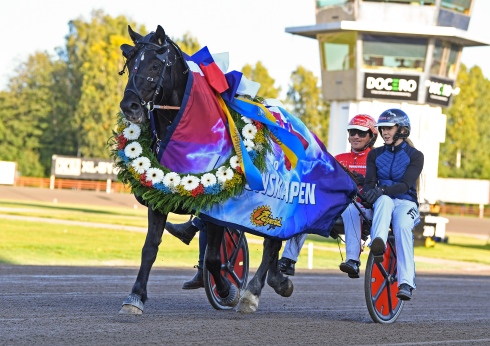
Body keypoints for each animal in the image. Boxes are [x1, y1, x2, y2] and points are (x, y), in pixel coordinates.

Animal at [118, 25, 292, 314]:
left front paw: (227, 290)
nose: (129, 106)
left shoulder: (218, 205)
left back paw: (252, 293)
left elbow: (213, 257)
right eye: (130, 64)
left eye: (155, 64)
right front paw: (135, 296)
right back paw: (277, 279)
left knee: (272, 242)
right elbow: (150, 247)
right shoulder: (158, 197)